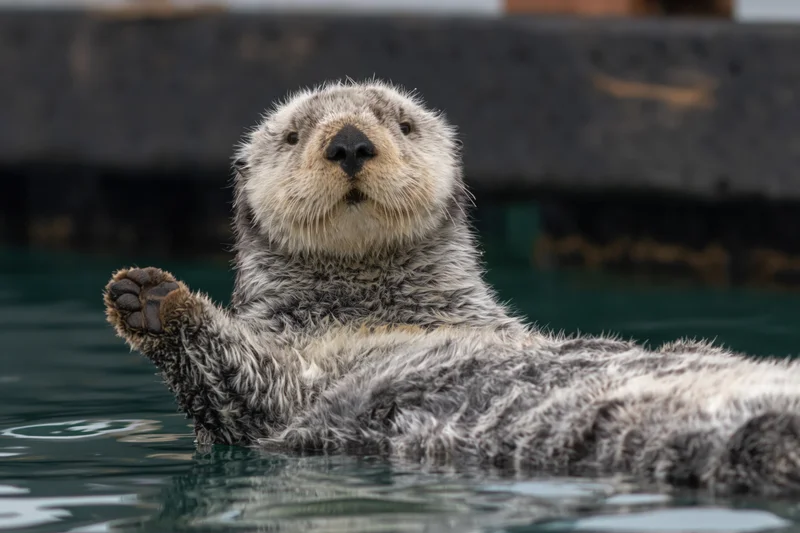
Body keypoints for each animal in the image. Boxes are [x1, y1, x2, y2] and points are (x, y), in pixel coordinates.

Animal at [105, 80, 800, 496]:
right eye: (294, 134)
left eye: (404, 125)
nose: (349, 142)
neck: (371, 303)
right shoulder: (278, 394)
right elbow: (236, 387)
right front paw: (148, 299)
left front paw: (155, 299)